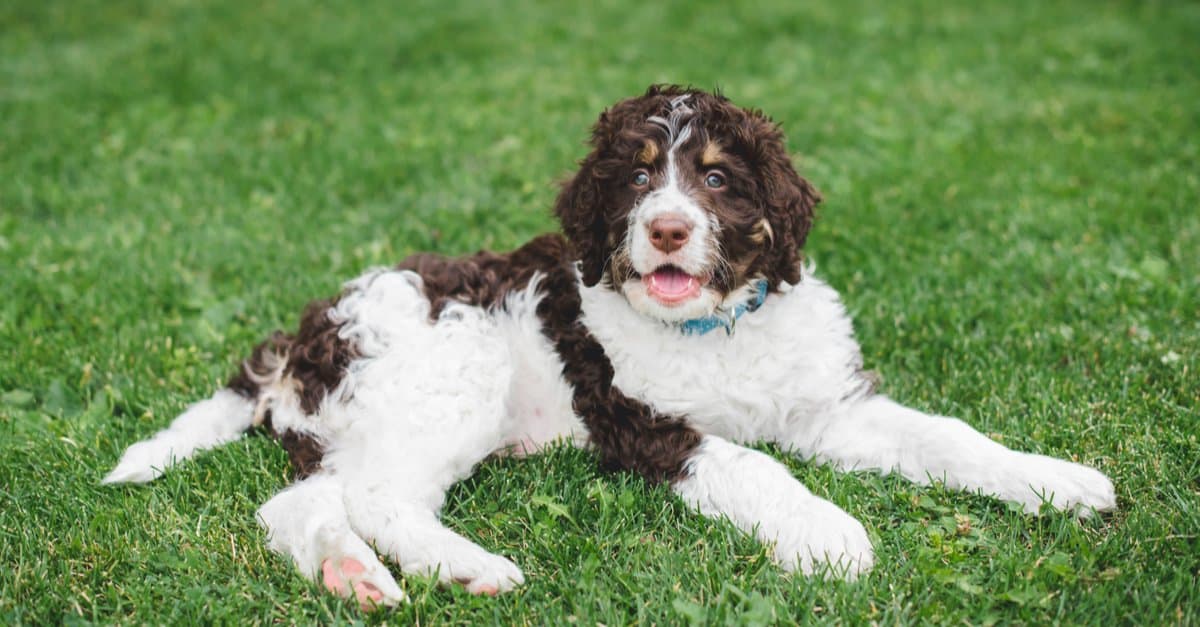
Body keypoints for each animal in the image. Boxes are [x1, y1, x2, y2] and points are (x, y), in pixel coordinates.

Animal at [105, 85, 1113, 602]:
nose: (666, 229)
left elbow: (948, 436)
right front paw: (833, 537)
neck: (714, 327)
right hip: (448, 373)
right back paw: (469, 567)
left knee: (300, 502)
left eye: (717, 177)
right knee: (380, 497)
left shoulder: (830, 406)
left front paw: (1056, 481)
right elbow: (757, 466)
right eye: (635, 176)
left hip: (363, 419)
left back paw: (354, 577)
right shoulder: (645, 422)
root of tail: (307, 332)